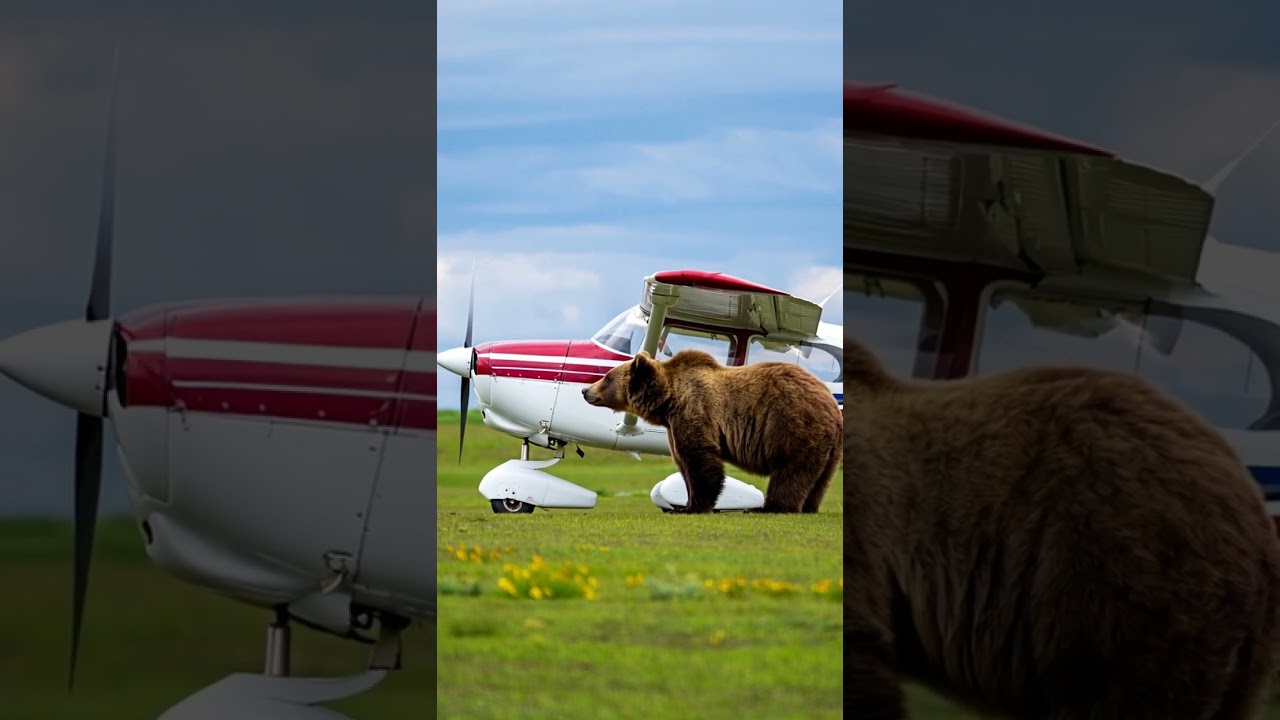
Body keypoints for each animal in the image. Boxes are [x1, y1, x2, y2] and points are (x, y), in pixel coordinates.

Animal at [580, 348, 842, 514]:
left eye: (607, 377)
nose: (585, 391)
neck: (668, 401)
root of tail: (832, 406)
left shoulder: (696, 411)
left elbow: (700, 459)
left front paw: (693, 507)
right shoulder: (674, 425)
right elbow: (684, 463)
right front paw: (684, 504)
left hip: (792, 425)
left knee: (790, 471)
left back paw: (770, 507)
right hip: (828, 447)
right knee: (820, 479)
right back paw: (808, 506)